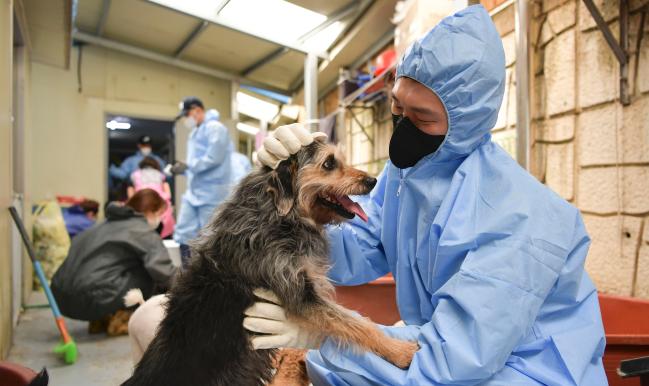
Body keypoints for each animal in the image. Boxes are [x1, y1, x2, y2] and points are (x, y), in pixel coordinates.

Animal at [122, 137, 418, 384]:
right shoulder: (301, 294)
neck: (277, 217)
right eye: (329, 163)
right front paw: (399, 350)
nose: (373, 181)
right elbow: (355, 322)